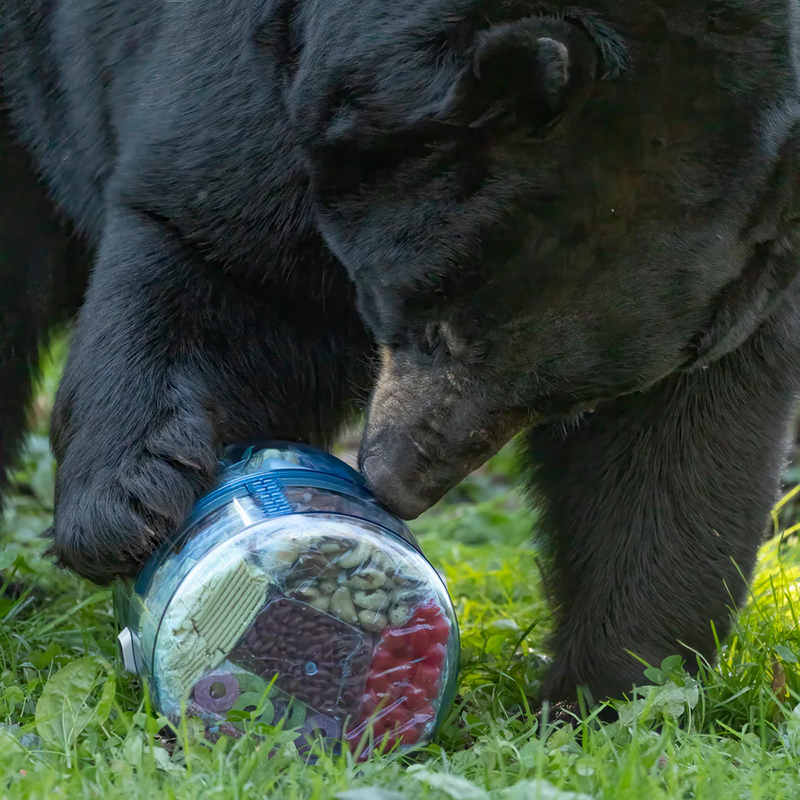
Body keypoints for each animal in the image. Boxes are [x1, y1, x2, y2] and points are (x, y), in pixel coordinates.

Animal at [2, 0, 800, 711]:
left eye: (561, 398)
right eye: (435, 324)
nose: (392, 485)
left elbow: (676, 449)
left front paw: (610, 695)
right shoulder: (262, 72)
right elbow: (209, 247)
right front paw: (125, 508)